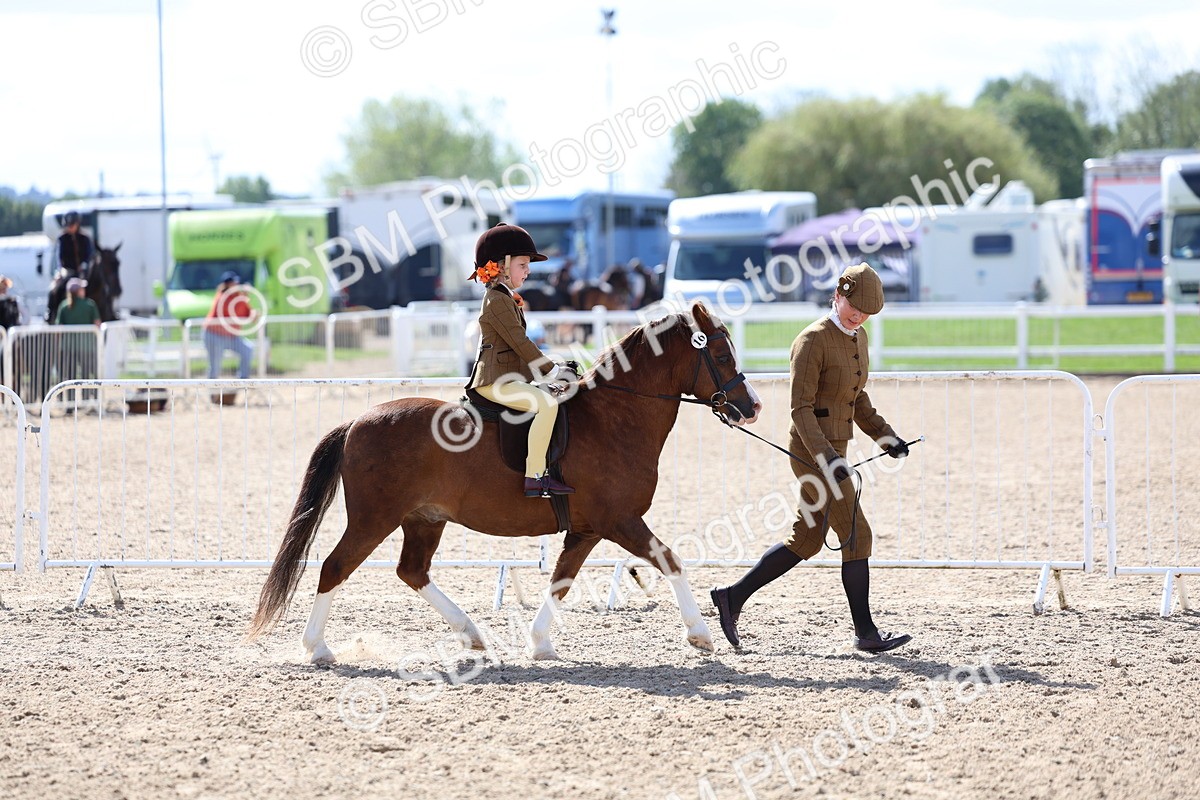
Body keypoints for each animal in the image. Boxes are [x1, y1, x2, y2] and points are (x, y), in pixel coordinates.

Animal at [247, 301, 762, 662]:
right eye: (720, 353)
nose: (752, 406)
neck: (616, 416)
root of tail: (356, 421)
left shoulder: (587, 529)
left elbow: (561, 580)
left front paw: (539, 643)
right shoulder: (620, 521)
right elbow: (670, 560)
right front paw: (700, 636)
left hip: (424, 519)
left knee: (412, 571)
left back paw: (472, 635)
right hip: (375, 518)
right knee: (336, 567)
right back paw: (317, 649)